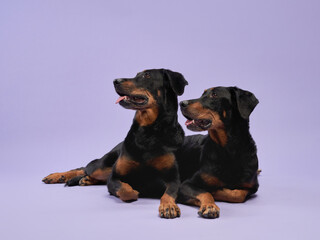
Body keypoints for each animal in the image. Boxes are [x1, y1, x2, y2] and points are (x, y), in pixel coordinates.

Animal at [42, 68, 188, 218]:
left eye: (147, 75)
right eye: (136, 74)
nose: (115, 81)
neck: (148, 132)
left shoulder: (173, 178)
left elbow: (169, 192)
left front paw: (168, 206)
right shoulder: (115, 176)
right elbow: (124, 189)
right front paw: (133, 191)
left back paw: (86, 179)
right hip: (102, 166)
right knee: (86, 167)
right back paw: (58, 176)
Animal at [178, 86, 260, 219]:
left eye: (214, 95)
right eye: (202, 94)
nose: (181, 103)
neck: (229, 150)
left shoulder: (252, 186)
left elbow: (238, 195)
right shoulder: (185, 185)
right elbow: (205, 192)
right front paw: (210, 206)